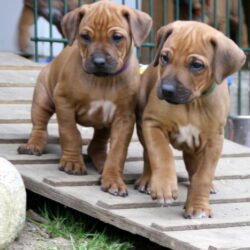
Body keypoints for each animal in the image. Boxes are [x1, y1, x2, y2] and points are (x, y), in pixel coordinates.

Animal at [18, 0, 151, 197]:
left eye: (117, 37)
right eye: (85, 36)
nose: (99, 62)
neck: (103, 80)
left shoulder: (124, 118)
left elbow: (118, 151)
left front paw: (113, 179)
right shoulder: (64, 102)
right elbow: (71, 133)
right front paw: (72, 162)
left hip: (105, 122)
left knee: (98, 143)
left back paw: (102, 161)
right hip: (43, 98)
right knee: (39, 125)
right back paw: (33, 145)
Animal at [136, 20, 245, 218]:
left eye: (196, 65)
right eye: (164, 58)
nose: (167, 90)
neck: (192, 104)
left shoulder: (214, 142)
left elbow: (203, 176)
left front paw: (198, 207)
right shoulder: (152, 124)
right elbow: (161, 153)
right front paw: (163, 186)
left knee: (193, 165)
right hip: (141, 122)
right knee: (148, 154)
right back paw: (147, 180)